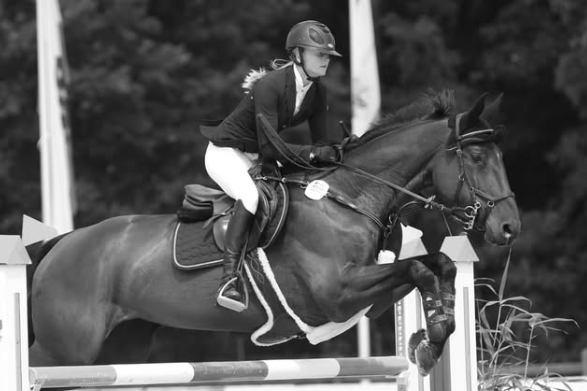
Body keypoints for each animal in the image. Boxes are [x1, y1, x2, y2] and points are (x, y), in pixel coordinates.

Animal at [28, 91, 520, 376]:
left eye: (499, 156)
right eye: (477, 157)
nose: (509, 227)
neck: (348, 197)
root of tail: (61, 245)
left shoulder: (365, 291)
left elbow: (437, 263)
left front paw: (432, 334)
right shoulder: (336, 294)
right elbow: (418, 268)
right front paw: (429, 341)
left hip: (122, 346)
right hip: (66, 350)